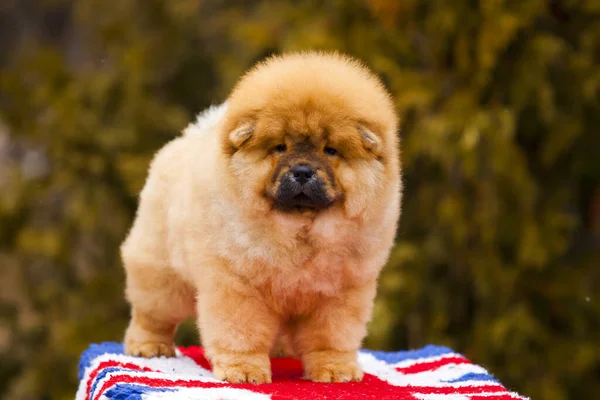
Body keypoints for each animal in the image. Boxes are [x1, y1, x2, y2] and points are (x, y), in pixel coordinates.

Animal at [120, 50, 404, 384]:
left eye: (331, 150)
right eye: (280, 147)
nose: (303, 171)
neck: (300, 228)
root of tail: (186, 138)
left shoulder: (341, 291)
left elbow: (331, 336)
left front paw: (336, 370)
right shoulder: (239, 283)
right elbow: (242, 331)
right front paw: (244, 371)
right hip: (163, 273)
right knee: (152, 313)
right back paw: (149, 347)